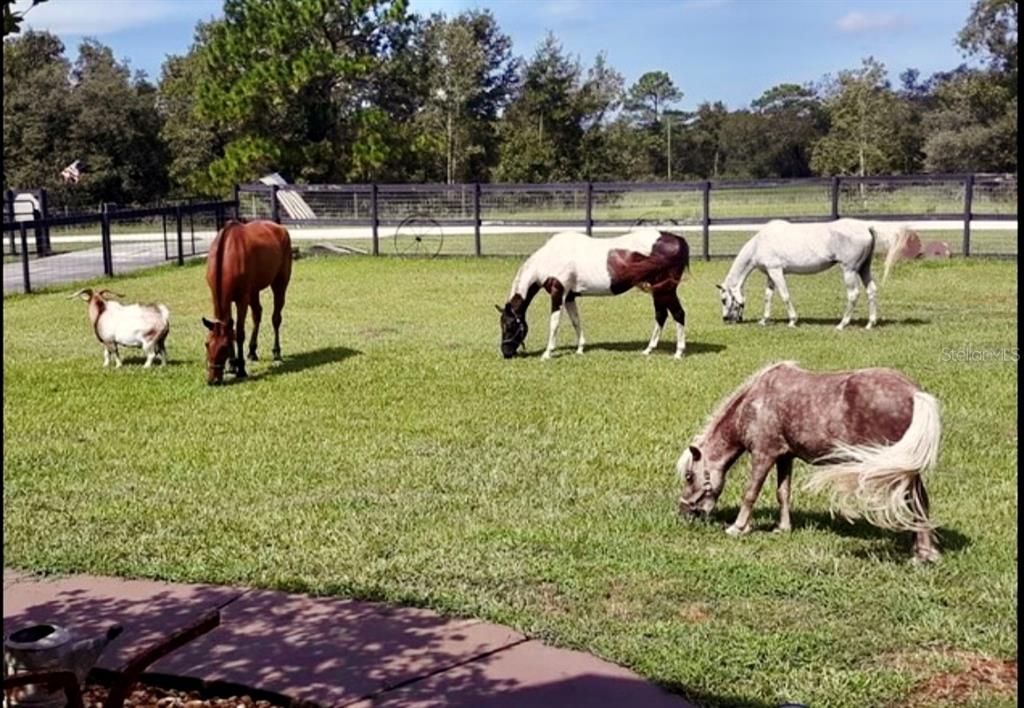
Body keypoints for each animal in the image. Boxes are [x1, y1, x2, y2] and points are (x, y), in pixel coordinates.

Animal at [201, 221, 292, 387]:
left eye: (223, 347)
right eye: (206, 344)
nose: (213, 380)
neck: (227, 255)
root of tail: (280, 228)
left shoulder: (242, 299)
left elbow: (239, 333)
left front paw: (241, 369)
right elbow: (231, 329)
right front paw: (232, 364)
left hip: (280, 284)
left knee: (276, 318)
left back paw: (276, 352)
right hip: (254, 291)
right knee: (257, 314)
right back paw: (252, 351)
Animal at [495, 229, 688, 360]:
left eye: (509, 325)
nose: (506, 353)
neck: (550, 258)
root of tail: (677, 240)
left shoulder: (558, 293)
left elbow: (554, 323)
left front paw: (547, 353)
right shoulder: (569, 296)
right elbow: (576, 321)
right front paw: (580, 349)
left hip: (666, 290)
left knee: (678, 314)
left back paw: (678, 352)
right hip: (658, 291)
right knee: (661, 315)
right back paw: (648, 349)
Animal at [675, 362, 937, 561]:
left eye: (689, 476)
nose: (684, 512)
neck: (757, 401)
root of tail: (914, 393)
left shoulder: (763, 455)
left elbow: (750, 493)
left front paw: (738, 528)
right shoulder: (784, 457)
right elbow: (783, 493)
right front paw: (782, 528)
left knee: (918, 501)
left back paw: (923, 554)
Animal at [720, 219, 921, 329]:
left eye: (723, 299)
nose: (726, 319)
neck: (760, 242)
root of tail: (867, 227)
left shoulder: (777, 271)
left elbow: (785, 295)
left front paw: (792, 321)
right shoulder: (771, 274)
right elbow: (768, 296)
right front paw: (764, 320)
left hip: (849, 270)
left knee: (853, 294)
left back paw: (842, 324)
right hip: (864, 268)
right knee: (871, 290)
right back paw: (870, 324)